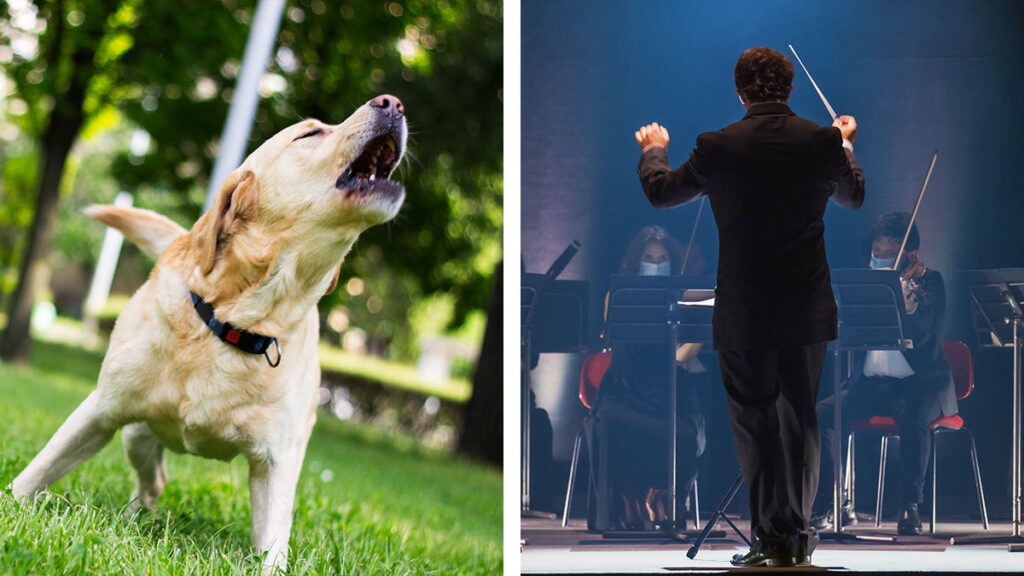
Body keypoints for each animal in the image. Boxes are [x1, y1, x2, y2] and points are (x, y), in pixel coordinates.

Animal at [9, 94, 407, 569]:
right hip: (135, 434)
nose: (394, 102)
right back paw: (135, 515)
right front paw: (11, 506)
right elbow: (35, 474)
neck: (234, 325)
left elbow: (273, 546)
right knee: (153, 478)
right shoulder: (100, 410)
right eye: (310, 133)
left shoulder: (277, 463)